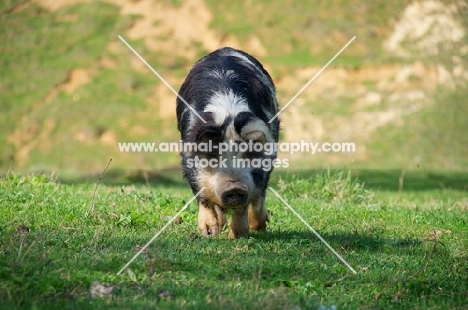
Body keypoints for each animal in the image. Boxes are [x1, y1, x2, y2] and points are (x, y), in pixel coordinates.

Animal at [175, 46, 278, 237]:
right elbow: (201, 192)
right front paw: (209, 232)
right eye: (212, 154)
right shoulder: (188, 157)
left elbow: (254, 196)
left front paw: (238, 235)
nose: (234, 187)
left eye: (249, 152)